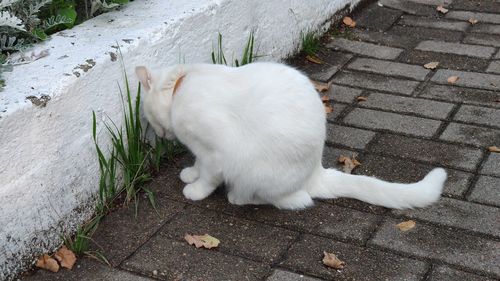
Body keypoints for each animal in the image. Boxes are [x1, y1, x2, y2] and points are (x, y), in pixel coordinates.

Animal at [135, 62, 448, 209]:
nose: (159, 134)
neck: (179, 87)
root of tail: (316, 172)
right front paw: (190, 173)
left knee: (295, 200)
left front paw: (195, 190)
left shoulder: (215, 153)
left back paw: (238, 197)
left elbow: (209, 176)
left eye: (147, 117)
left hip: (255, 173)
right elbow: (198, 163)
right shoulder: (201, 150)